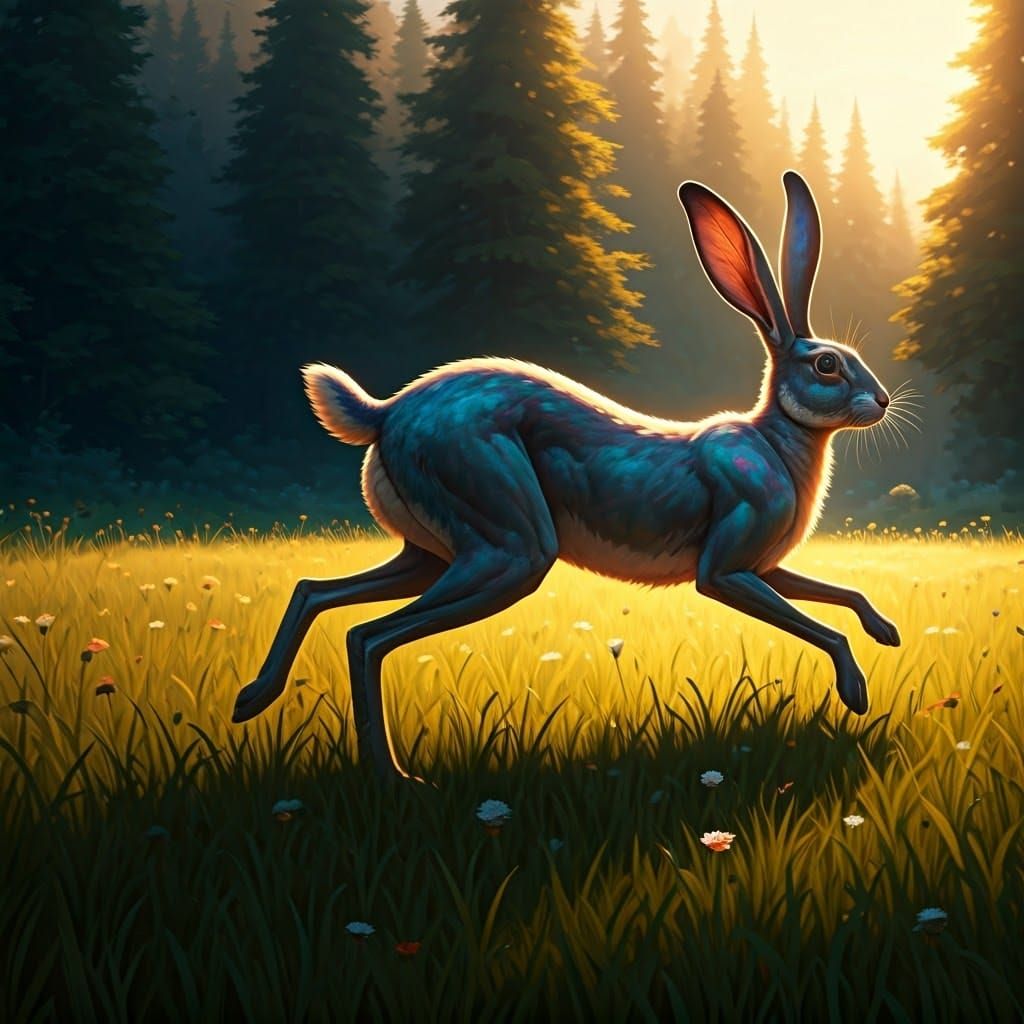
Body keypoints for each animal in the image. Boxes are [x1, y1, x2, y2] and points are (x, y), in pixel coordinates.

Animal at [232, 170, 901, 783]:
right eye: (827, 365)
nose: (883, 400)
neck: (776, 439)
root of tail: (386, 414)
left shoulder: (764, 567)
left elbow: (841, 593)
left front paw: (888, 633)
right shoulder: (727, 570)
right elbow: (816, 624)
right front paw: (857, 692)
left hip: (434, 549)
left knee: (317, 594)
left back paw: (253, 702)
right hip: (508, 540)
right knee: (371, 637)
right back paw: (396, 779)